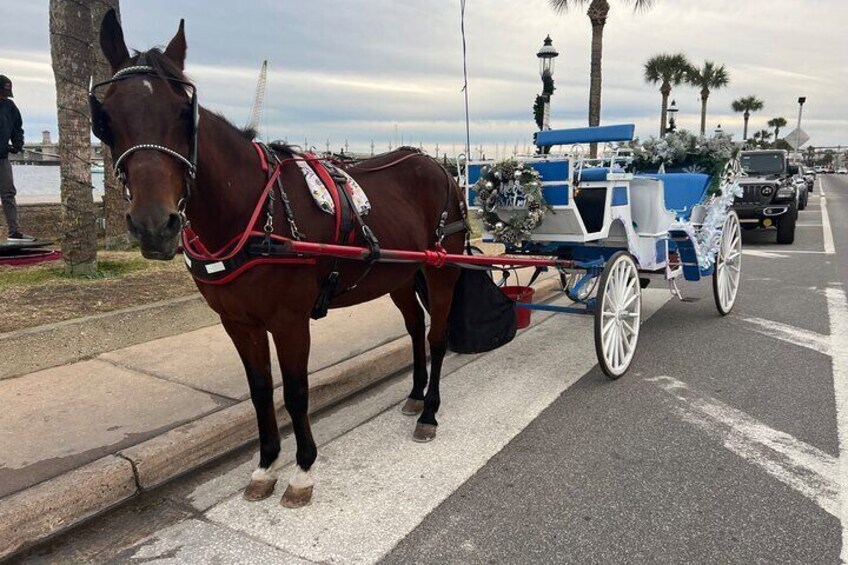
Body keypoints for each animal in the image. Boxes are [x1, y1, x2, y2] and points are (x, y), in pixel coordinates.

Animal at [96, 12, 468, 506]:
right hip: (400, 275)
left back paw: (429, 412)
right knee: (414, 329)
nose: (155, 224)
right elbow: (260, 391)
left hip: (440, 268)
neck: (252, 211)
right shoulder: (239, 323)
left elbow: (295, 392)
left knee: (436, 336)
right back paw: (414, 394)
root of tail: (438, 165)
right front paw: (266, 462)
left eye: (183, 113)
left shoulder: (290, 321)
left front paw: (302, 468)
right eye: (107, 118)